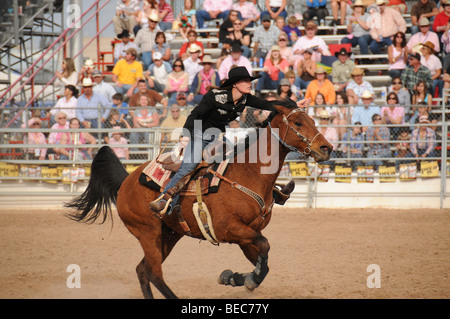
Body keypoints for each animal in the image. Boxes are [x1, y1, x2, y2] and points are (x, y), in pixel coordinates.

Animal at [67, 99, 334, 298]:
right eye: (299, 122)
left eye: (313, 120)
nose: (326, 148)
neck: (249, 173)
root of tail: (127, 180)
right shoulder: (232, 230)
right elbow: (265, 248)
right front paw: (240, 278)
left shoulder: (248, 234)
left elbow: (263, 261)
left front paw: (236, 278)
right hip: (147, 232)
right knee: (153, 273)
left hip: (169, 235)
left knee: (142, 270)